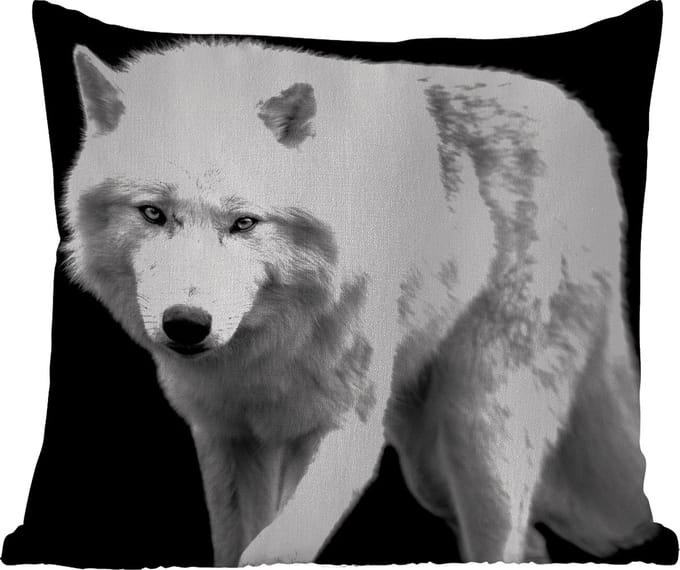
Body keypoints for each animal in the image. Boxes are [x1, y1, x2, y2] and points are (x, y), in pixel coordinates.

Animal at [64, 40, 657, 565]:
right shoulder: (228, 437)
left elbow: (273, 549)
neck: (264, 354)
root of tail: (582, 120)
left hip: (480, 429)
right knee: (528, 542)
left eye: (244, 223)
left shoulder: (346, 430)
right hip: (428, 467)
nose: (187, 324)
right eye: (153, 213)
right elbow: (235, 546)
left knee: (505, 537)